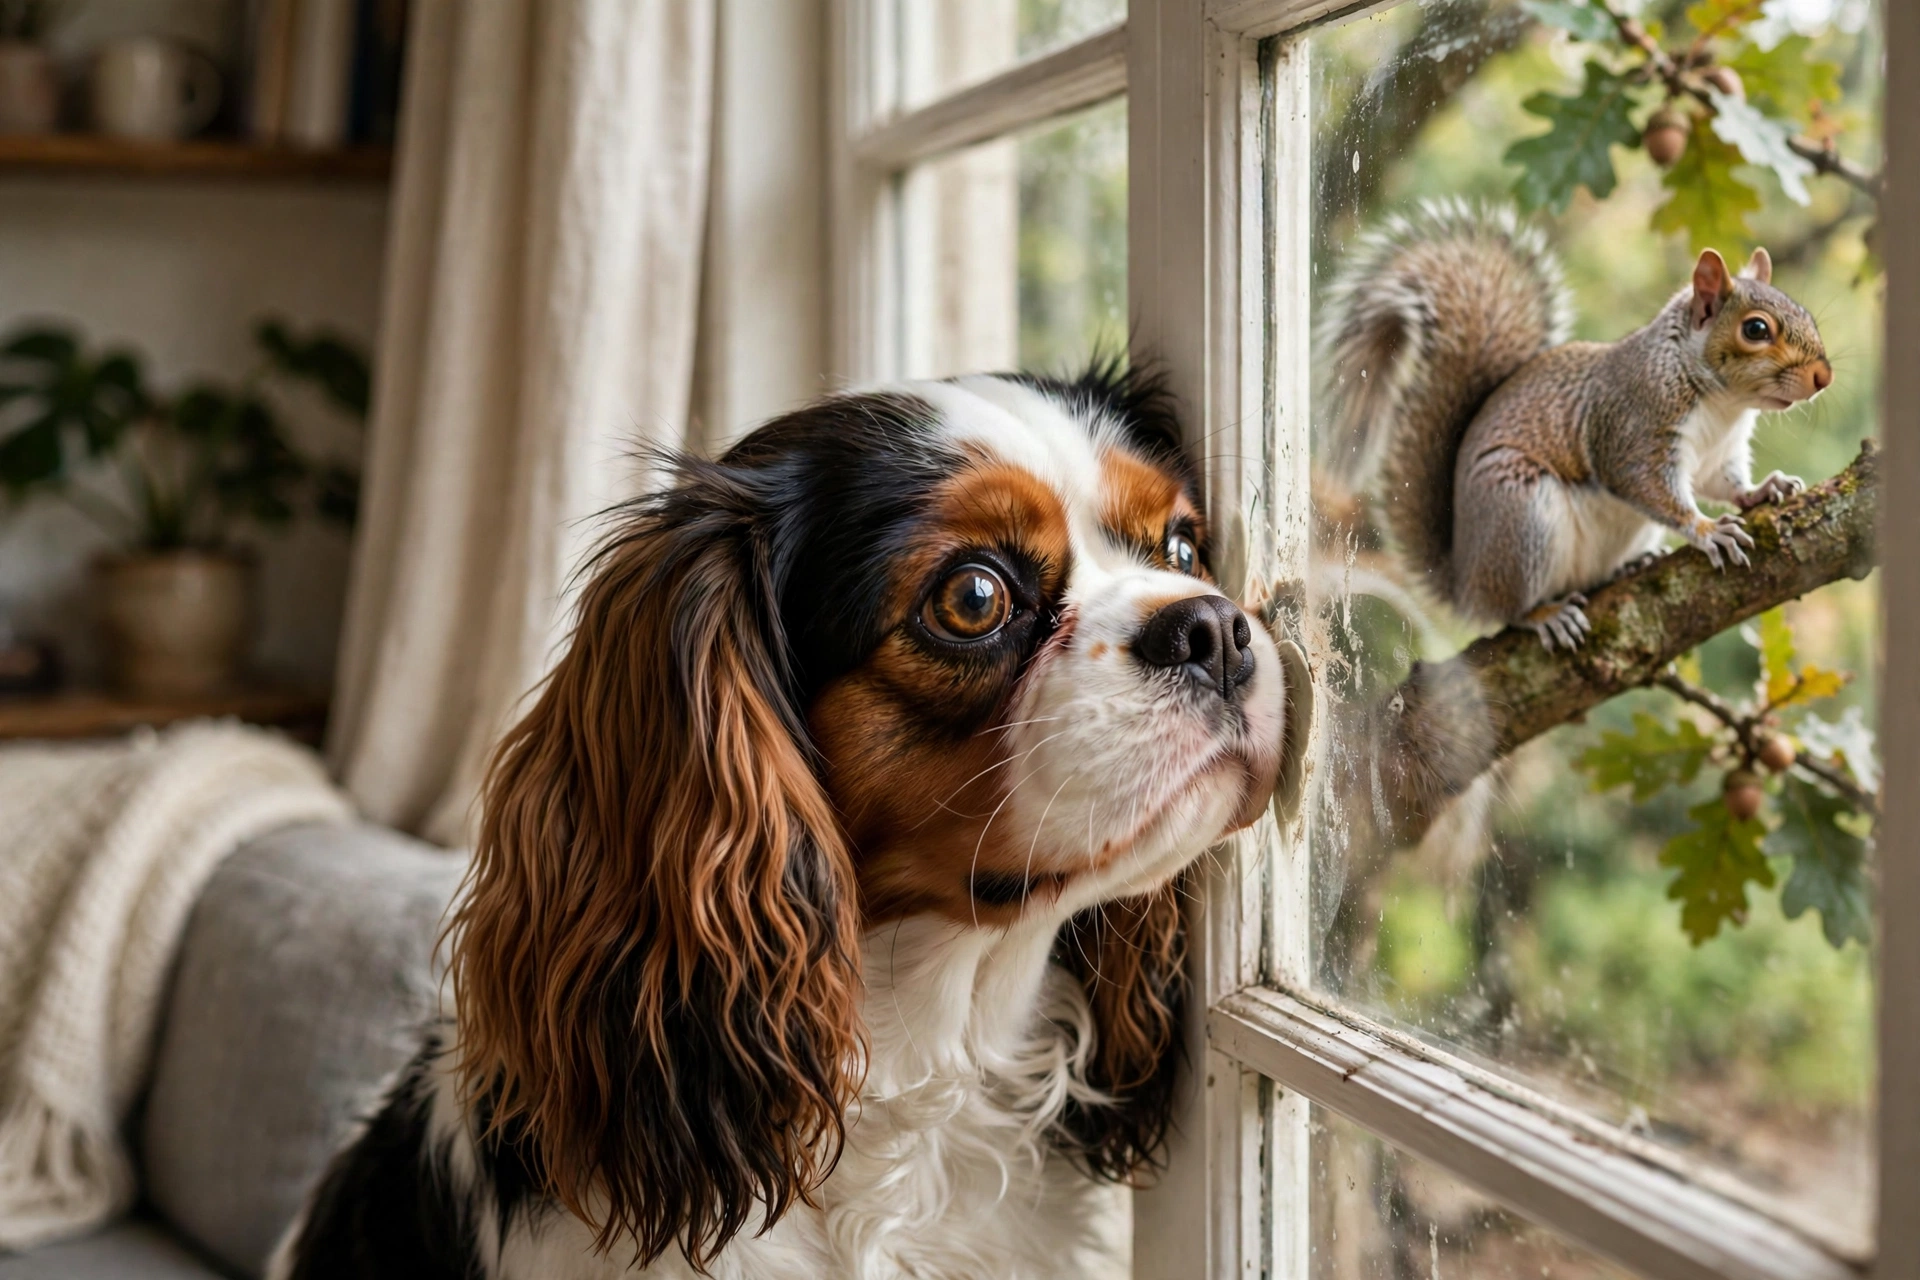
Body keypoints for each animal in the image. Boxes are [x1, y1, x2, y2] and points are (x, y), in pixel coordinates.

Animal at [1323, 202, 1833, 651]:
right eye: (1756, 330)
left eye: (1808, 315)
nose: (1823, 378)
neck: (1723, 404)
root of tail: (1465, 581)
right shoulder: (1632, 426)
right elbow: (1646, 485)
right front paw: (1708, 530)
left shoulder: (1719, 453)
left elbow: (1722, 483)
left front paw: (1764, 489)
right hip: (1519, 514)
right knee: (1509, 609)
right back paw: (1544, 614)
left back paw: (1629, 566)